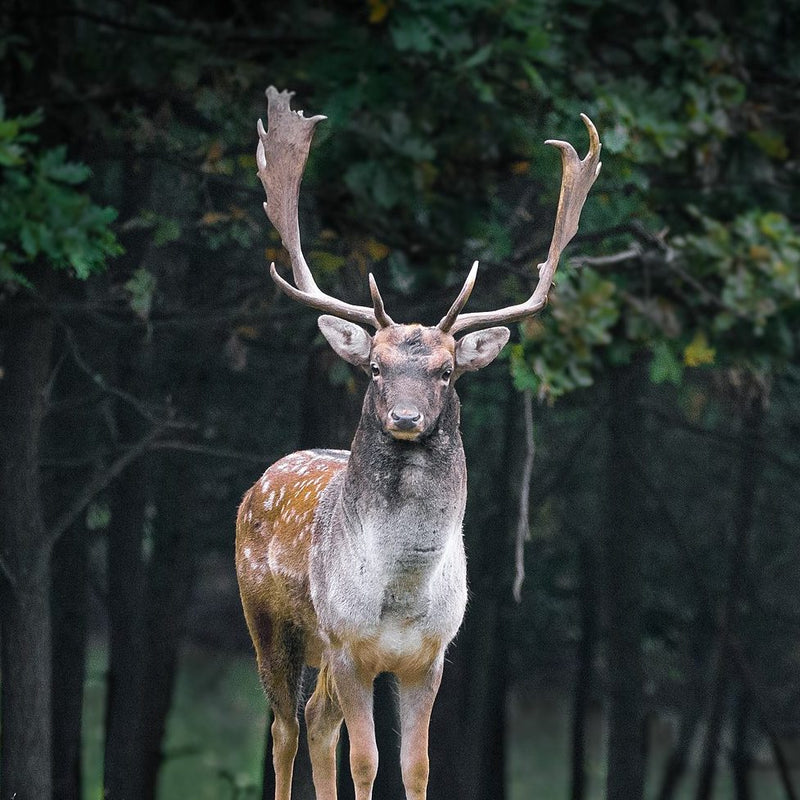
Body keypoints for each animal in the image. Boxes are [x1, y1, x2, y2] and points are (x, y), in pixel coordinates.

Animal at [235, 86, 601, 800]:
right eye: (375, 367)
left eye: (446, 371)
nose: (405, 417)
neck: (400, 594)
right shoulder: (349, 644)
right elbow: (366, 760)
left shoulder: (430, 657)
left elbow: (415, 764)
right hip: (271, 622)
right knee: (285, 728)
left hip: (319, 652)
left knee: (316, 719)